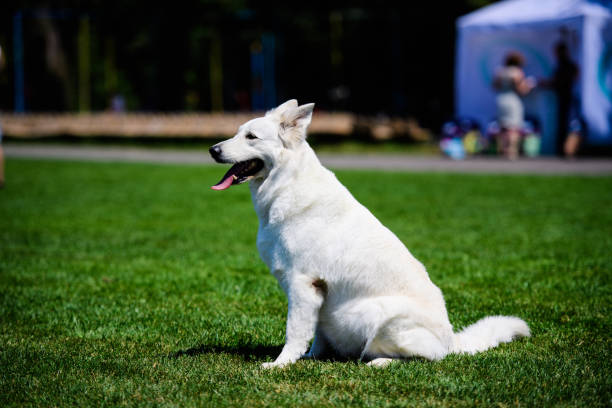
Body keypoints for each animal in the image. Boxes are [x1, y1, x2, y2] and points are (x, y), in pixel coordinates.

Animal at [208, 100, 528, 368]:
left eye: (251, 137)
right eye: (237, 133)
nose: (213, 150)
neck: (286, 185)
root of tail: (452, 342)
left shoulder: (302, 284)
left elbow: (294, 332)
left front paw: (280, 365)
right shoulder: (318, 296)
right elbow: (316, 335)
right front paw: (310, 358)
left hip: (380, 315)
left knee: (423, 358)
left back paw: (380, 362)